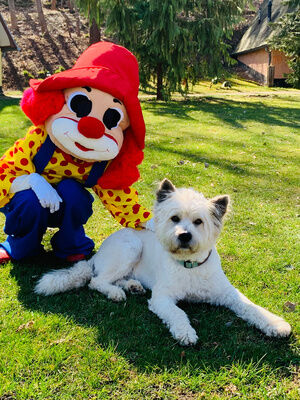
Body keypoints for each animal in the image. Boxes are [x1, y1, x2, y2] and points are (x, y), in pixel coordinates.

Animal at [34, 180, 290, 346]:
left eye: (198, 221)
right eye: (174, 218)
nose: (184, 236)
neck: (189, 265)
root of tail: (96, 256)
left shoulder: (228, 294)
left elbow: (251, 307)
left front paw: (276, 324)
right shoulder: (162, 298)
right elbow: (178, 313)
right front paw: (185, 333)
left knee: (116, 278)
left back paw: (132, 286)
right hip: (130, 247)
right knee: (97, 281)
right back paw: (116, 292)